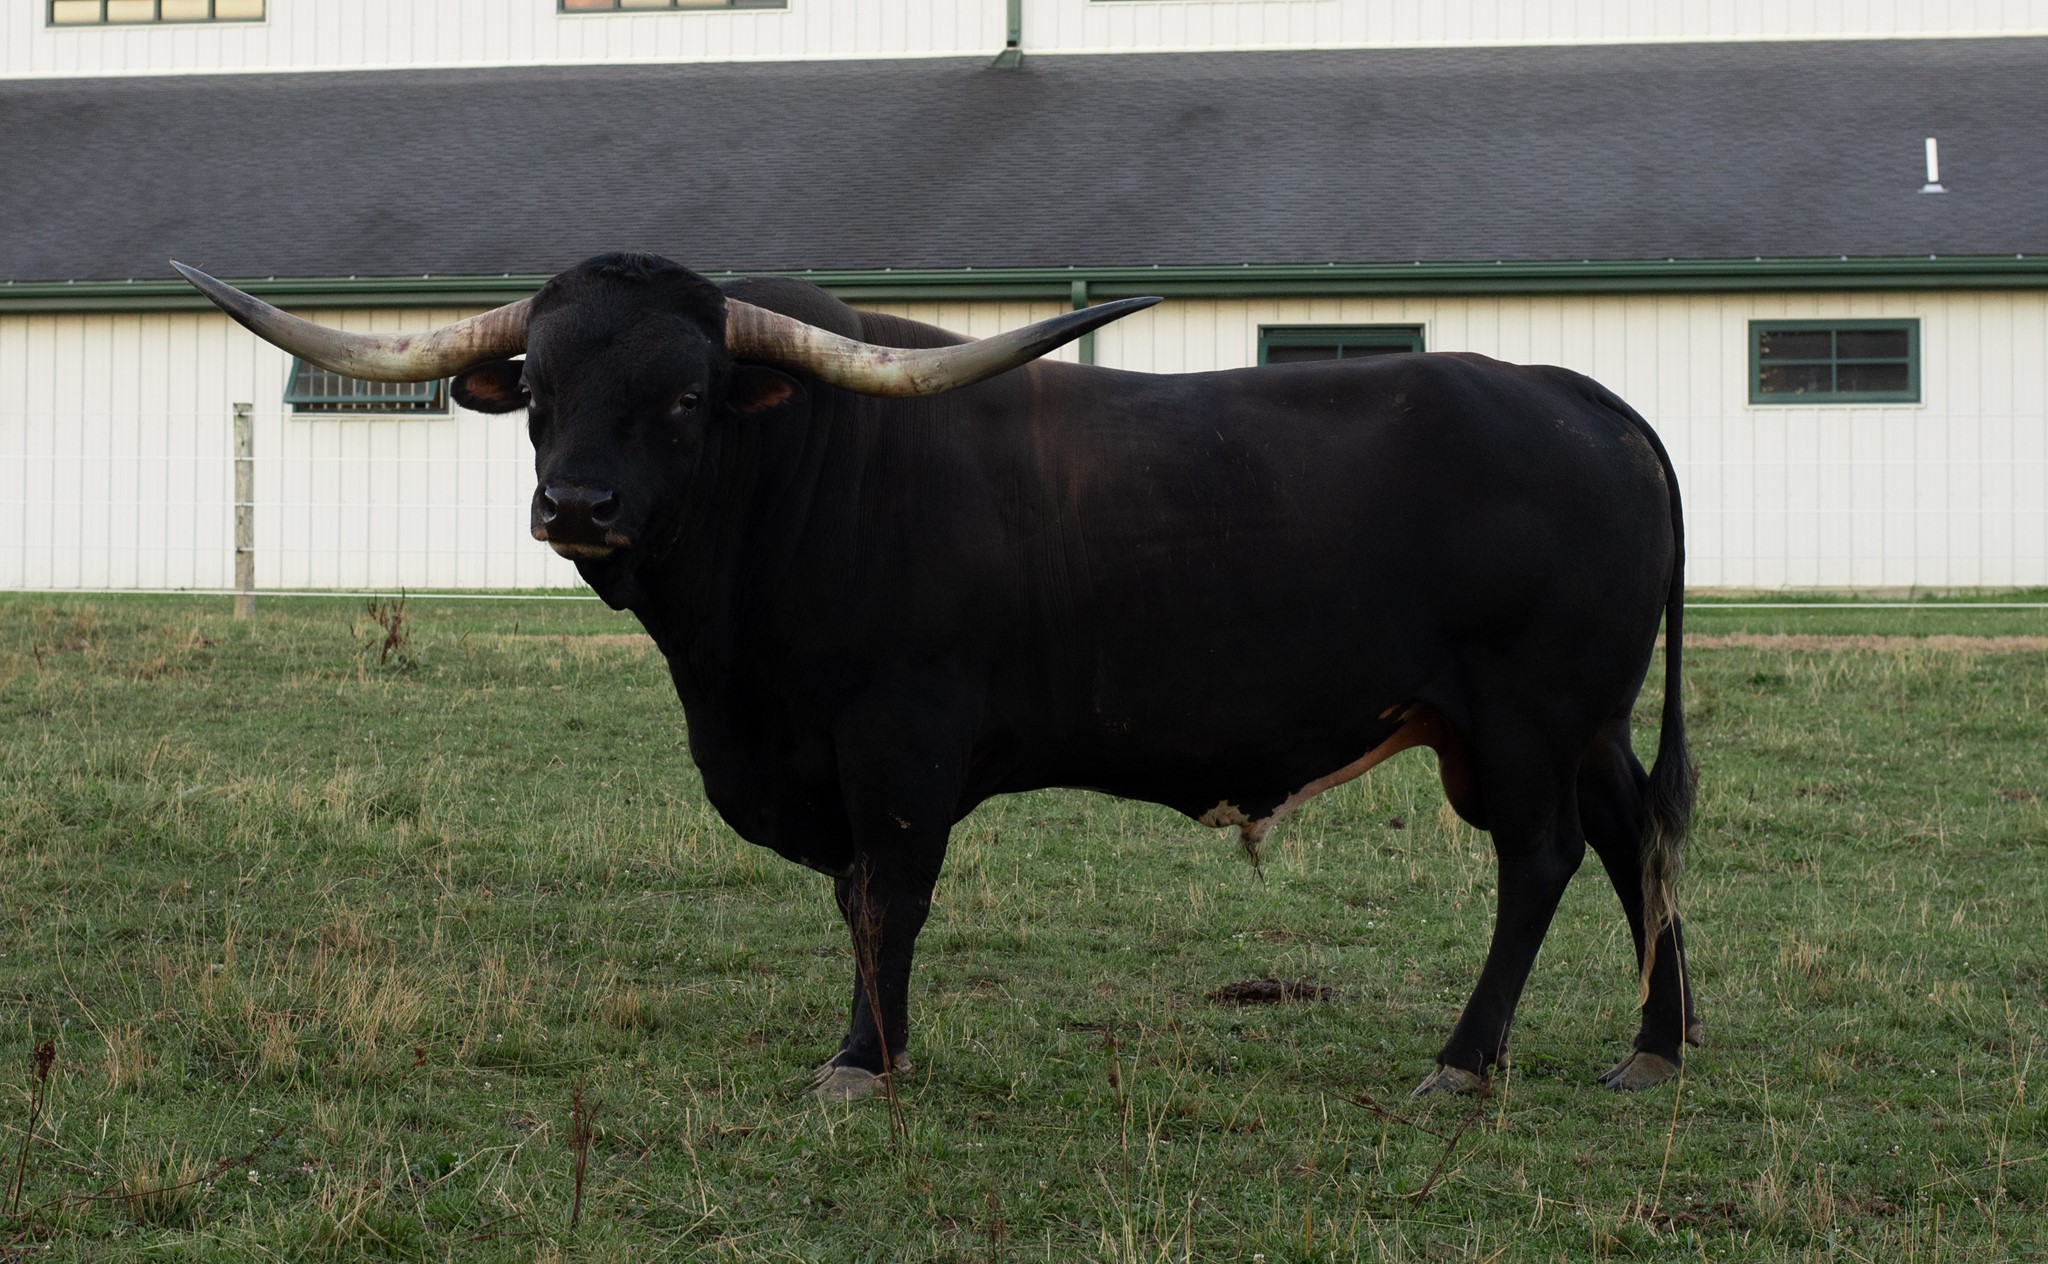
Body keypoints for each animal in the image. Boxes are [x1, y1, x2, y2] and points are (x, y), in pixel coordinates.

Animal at [174, 252, 1699, 1101]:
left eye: (683, 395)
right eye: (539, 391)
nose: (578, 506)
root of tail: (1577, 395)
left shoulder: (899, 743)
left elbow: (885, 899)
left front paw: (862, 1061)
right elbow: (856, 899)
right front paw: (879, 1050)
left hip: (1525, 717)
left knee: (1543, 862)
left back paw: (1467, 1059)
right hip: (1584, 720)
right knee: (1638, 840)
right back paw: (1658, 1046)